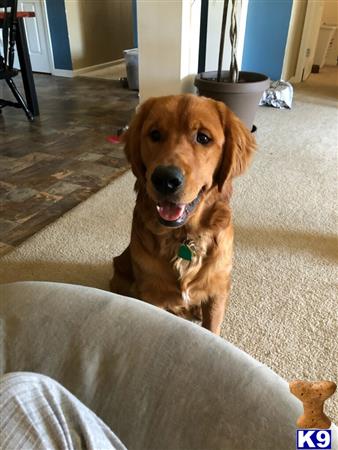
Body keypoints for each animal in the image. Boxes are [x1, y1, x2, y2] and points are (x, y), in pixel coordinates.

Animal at [111, 95, 256, 334]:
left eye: (203, 138)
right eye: (155, 134)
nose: (165, 179)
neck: (183, 237)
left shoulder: (217, 292)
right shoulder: (151, 295)